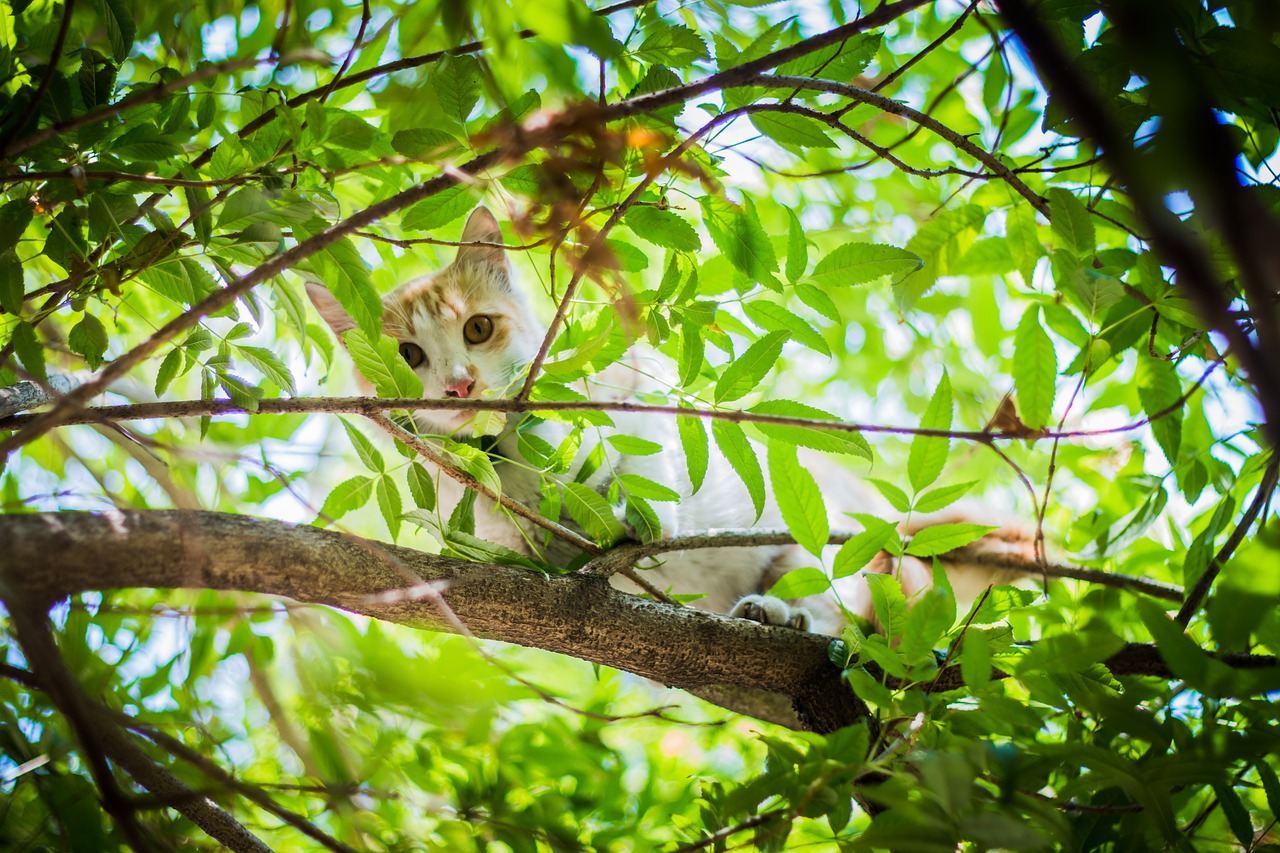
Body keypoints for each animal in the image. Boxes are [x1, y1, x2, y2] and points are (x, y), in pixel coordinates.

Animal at [307, 204, 1018, 630]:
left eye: (478, 329)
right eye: (410, 356)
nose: (460, 384)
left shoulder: (629, 387)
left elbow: (635, 451)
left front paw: (637, 508)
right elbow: (525, 537)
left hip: (818, 543)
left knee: (835, 601)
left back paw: (782, 612)